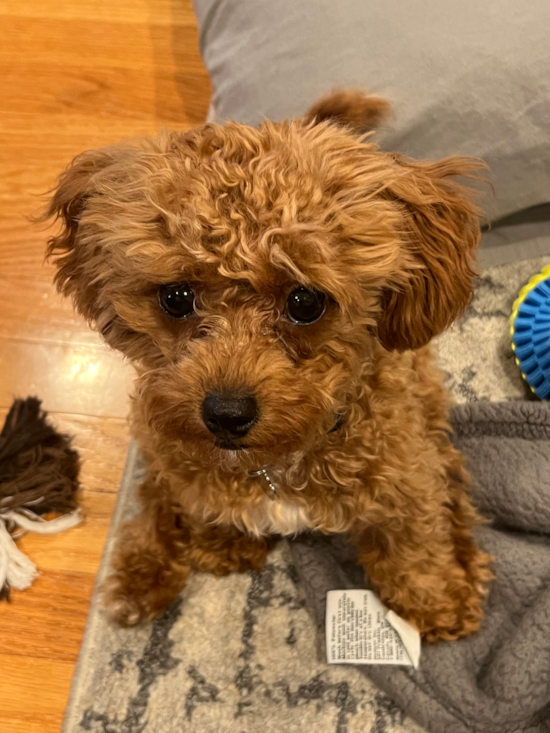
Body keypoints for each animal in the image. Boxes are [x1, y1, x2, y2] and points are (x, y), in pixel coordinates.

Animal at [45, 90, 496, 640]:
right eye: (175, 297)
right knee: (154, 491)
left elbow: (413, 540)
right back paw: (139, 578)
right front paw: (222, 541)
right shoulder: (179, 450)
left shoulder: (402, 477)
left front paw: (437, 601)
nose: (227, 414)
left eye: (305, 301)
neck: (273, 466)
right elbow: (191, 498)